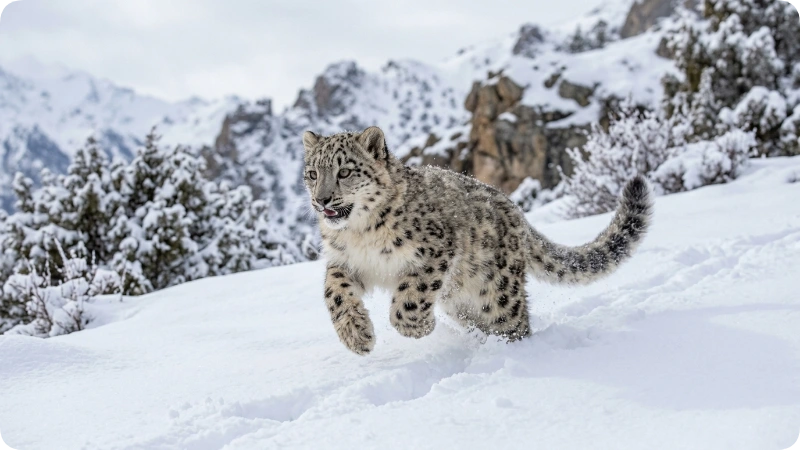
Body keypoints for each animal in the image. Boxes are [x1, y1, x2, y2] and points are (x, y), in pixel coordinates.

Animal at [302, 126, 652, 355]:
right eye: (312, 174)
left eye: (345, 172)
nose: (322, 200)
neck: (360, 233)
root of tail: (517, 213)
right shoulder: (344, 261)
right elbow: (335, 294)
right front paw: (356, 336)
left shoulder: (433, 250)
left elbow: (410, 297)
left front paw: (417, 328)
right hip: (462, 304)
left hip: (498, 293)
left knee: (515, 323)